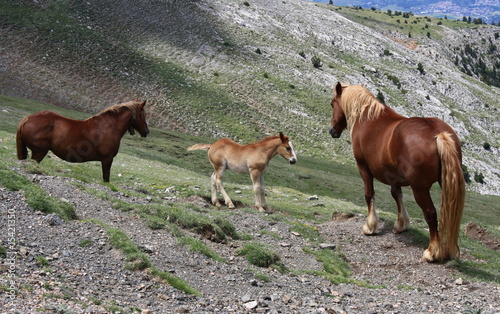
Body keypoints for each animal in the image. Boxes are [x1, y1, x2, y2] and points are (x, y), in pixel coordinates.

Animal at [17, 99, 150, 183]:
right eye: (143, 114)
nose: (146, 131)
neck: (109, 126)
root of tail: (27, 118)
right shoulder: (107, 160)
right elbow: (106, 179)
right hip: (38, 153)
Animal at [328, 82, 464, 262]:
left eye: (332, 104)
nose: (331, 130)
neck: (367, 118)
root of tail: (437, 133)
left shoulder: (363, 169)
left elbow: (369, 195)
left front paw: (370, 226)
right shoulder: (394, 176)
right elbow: (396, 195)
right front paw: (401, 224)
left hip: (419, 188)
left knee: (430, 213)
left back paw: (432, 251)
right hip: (445, 182)